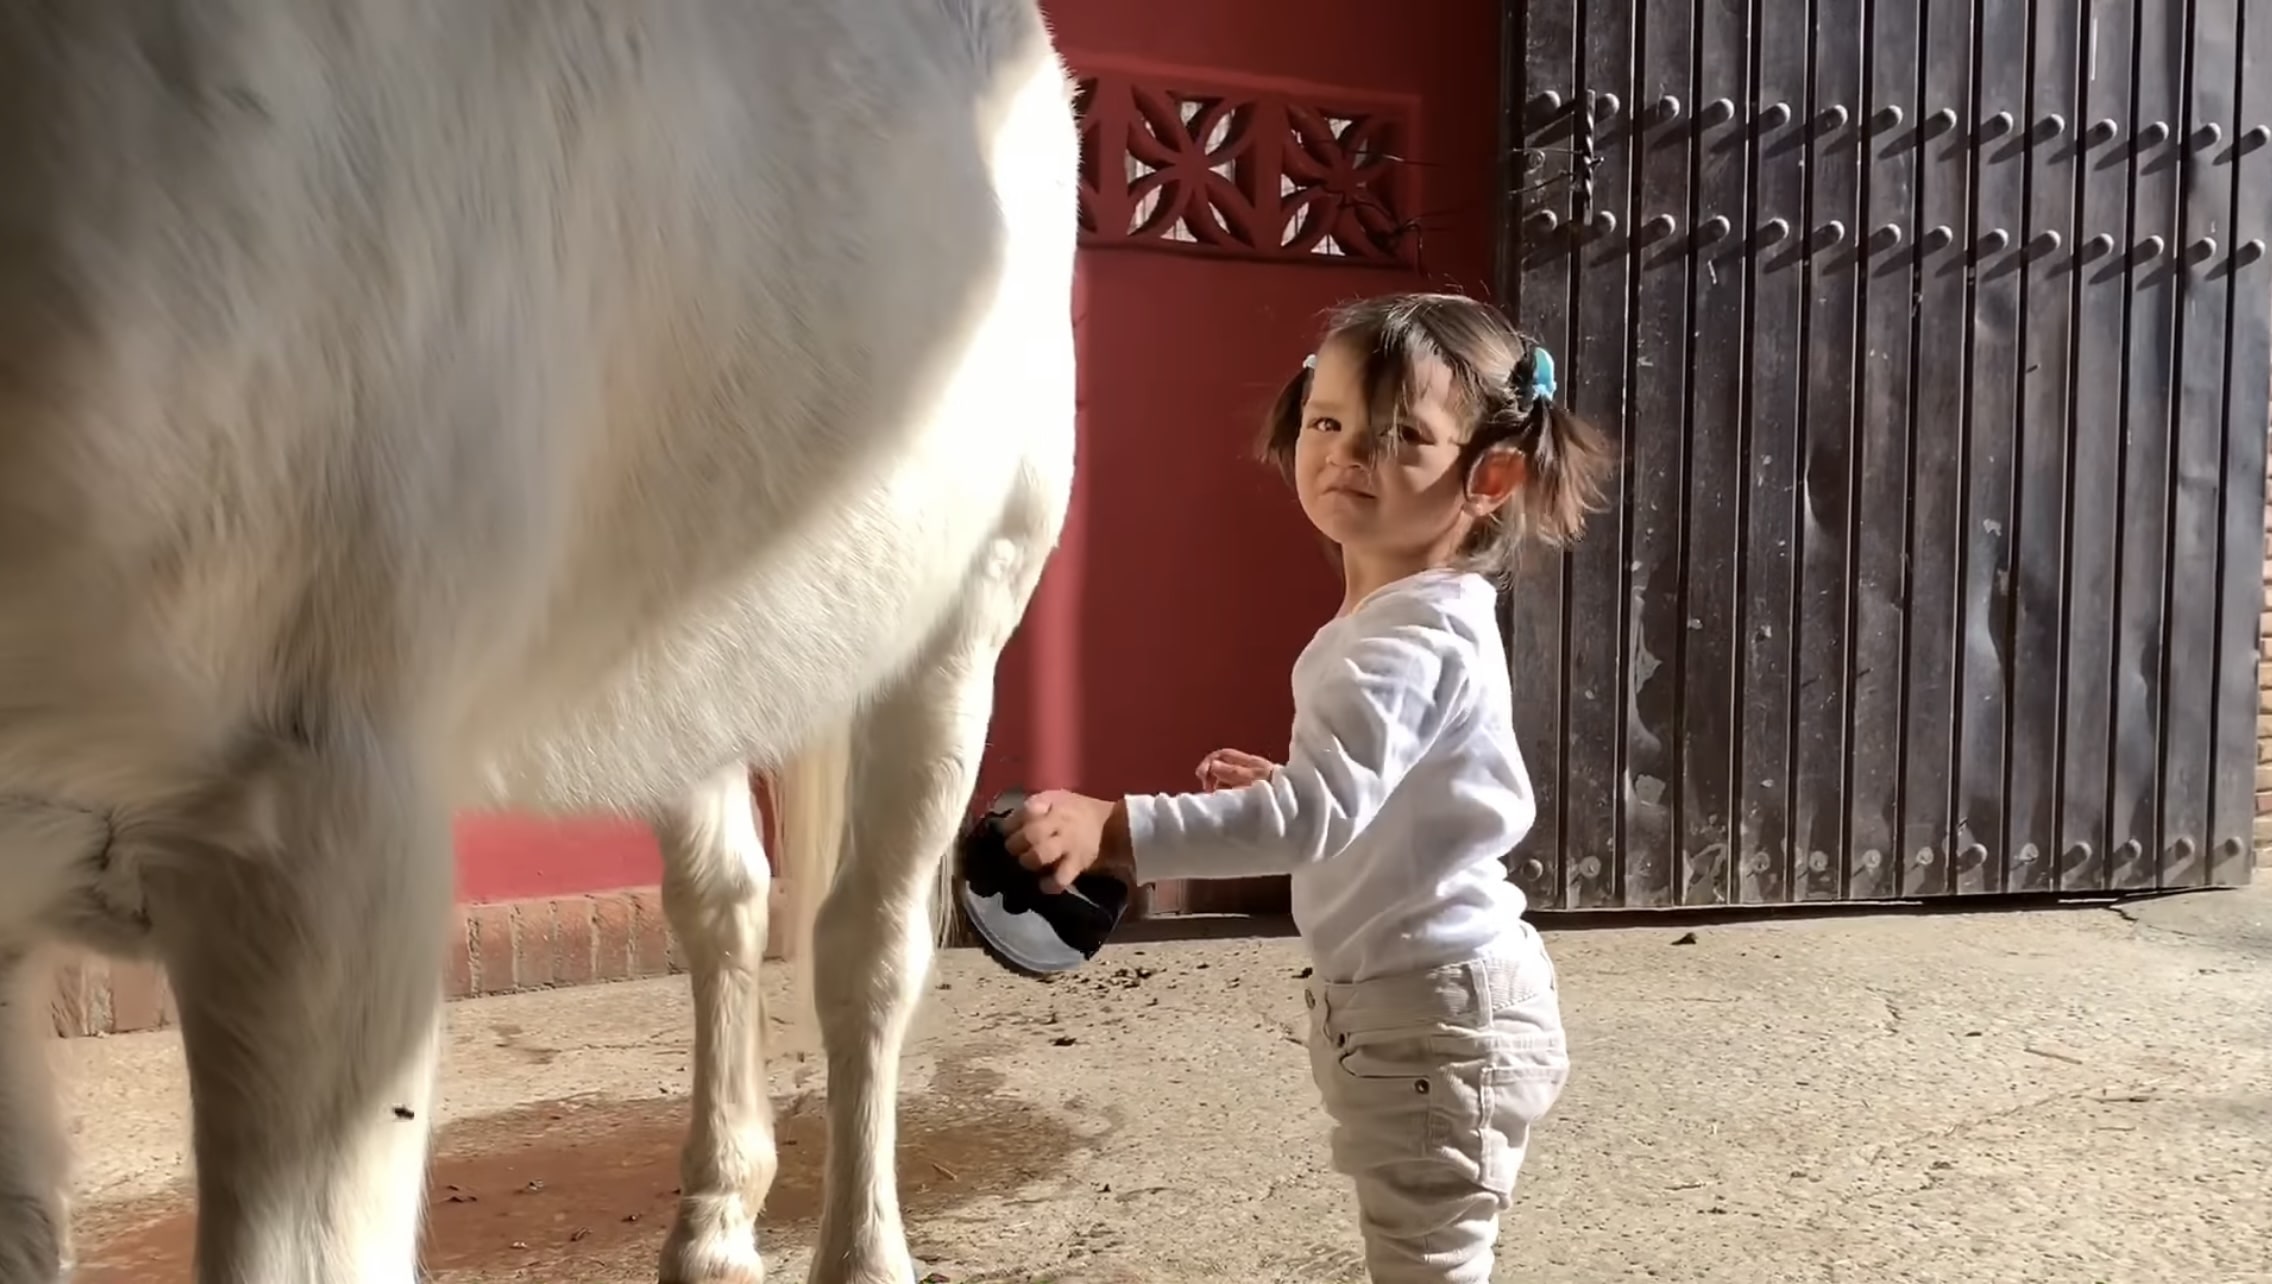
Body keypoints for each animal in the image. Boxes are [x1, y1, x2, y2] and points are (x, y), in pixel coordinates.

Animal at [0, 5, 1072, 1272]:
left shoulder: (320, 868)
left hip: (966, 616)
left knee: (868, 948)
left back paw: (858, 1256)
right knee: (727, 900)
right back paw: (714, 1224)